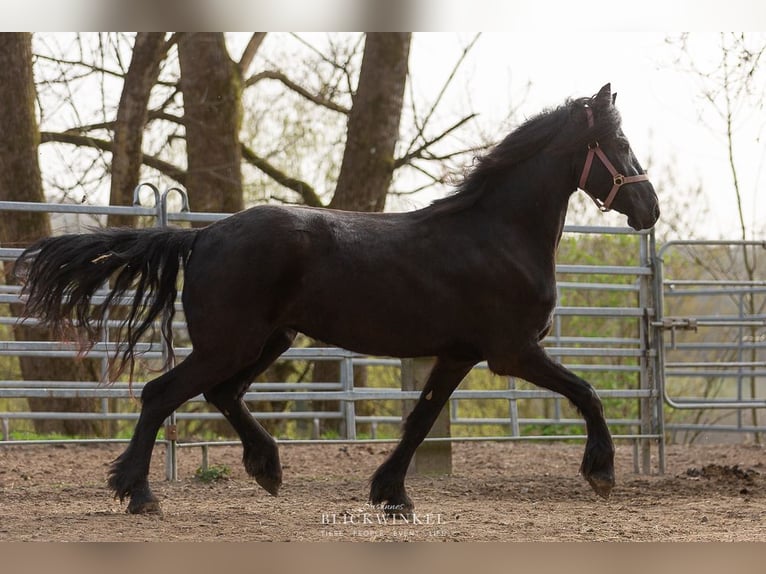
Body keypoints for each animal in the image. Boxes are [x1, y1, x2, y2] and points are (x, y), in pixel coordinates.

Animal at [13, 84, 660, 516]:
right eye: (620, 141)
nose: (649, 208)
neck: (497, 234)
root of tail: (201, 237)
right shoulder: (512, 352)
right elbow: (587, 392)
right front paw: (601, 472)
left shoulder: (458, 354)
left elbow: (421, 419)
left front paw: (390, 494)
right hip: (232, 343)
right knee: (162, 394)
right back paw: (140, 493)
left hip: (269, 339)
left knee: (222, 394)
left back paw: (266, 469)